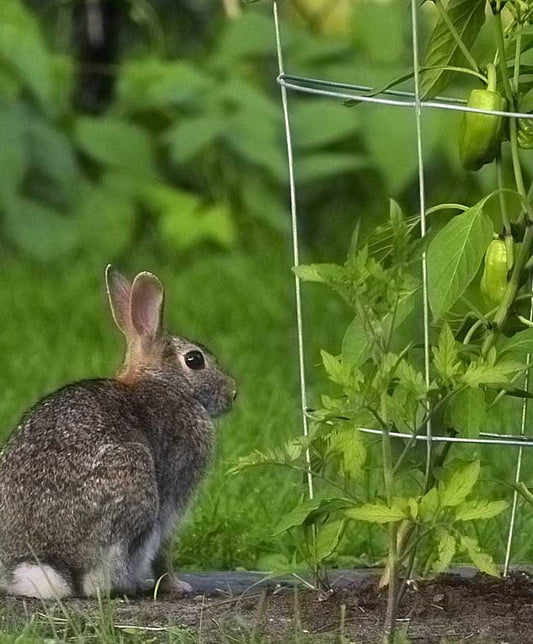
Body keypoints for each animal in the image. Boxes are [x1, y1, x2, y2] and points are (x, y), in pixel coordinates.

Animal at [0, 266, 235, 600]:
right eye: (194, 360)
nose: (233, 393)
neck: (163, 383)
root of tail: (49, 564)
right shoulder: (173, 497)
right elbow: (163, 550)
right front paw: (177, 585)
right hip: (134, 483)